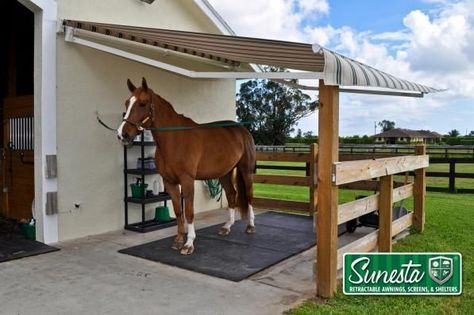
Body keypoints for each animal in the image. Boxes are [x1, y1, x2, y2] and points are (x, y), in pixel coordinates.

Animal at [118, 78, 258, 256]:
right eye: (126, 102)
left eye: (142, 103)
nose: (122, 134)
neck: (174, 139)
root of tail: (242, 130)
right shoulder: (170, 182)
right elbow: (178, 211)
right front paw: (178, 240)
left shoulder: (187, 180)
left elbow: (189, 212)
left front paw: (189, 244)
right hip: (224, 173)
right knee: (232, 195)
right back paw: (226, 227)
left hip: (246, 171)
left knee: (249, 196)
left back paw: (250, 226)